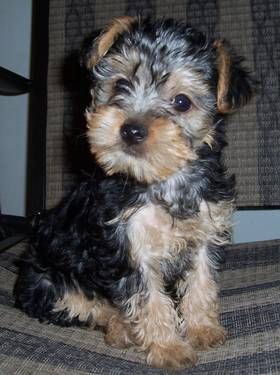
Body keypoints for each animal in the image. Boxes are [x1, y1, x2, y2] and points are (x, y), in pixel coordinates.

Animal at [16, 16, 255, 368]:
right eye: (120, 84)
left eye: (182, 102)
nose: (131, 129)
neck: (161, 180)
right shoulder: (129, 245)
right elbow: (149, 299)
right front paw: (168, 348)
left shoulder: (206, 231)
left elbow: (201, 281)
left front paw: (202, 329)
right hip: (47, 280)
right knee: (89, 306)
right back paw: (121, 329)